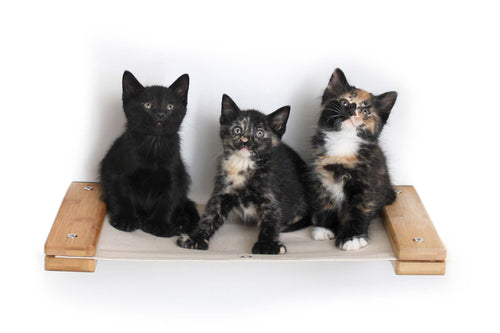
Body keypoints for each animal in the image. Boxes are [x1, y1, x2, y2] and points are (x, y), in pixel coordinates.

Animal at [98, 70, 198, 236]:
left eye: (170, 106)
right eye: (148, 105)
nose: (160, 114)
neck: (154, 143)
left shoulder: (175, 175)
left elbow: (168, 198)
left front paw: (159, 224)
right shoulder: (118, 172)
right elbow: (123, 195)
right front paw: (126, 219)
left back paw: (179, 222)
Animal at [178, 93, 312, 254]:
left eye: (259, 133)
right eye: (237, 130)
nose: (245, 141)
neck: (242, 165)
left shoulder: (270, 194)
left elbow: (272, 218)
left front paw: (267, 244)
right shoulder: (222, 191)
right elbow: (210, 215)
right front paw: (196, 238)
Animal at [312, 67, 398, 249]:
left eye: (365, 111)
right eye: (344, 102)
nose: (352, 110)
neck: (343, 142)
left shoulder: (366, 184)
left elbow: (359, 210)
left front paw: (352, 238)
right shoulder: (322, 179)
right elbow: (325, 203)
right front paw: (324, 227)